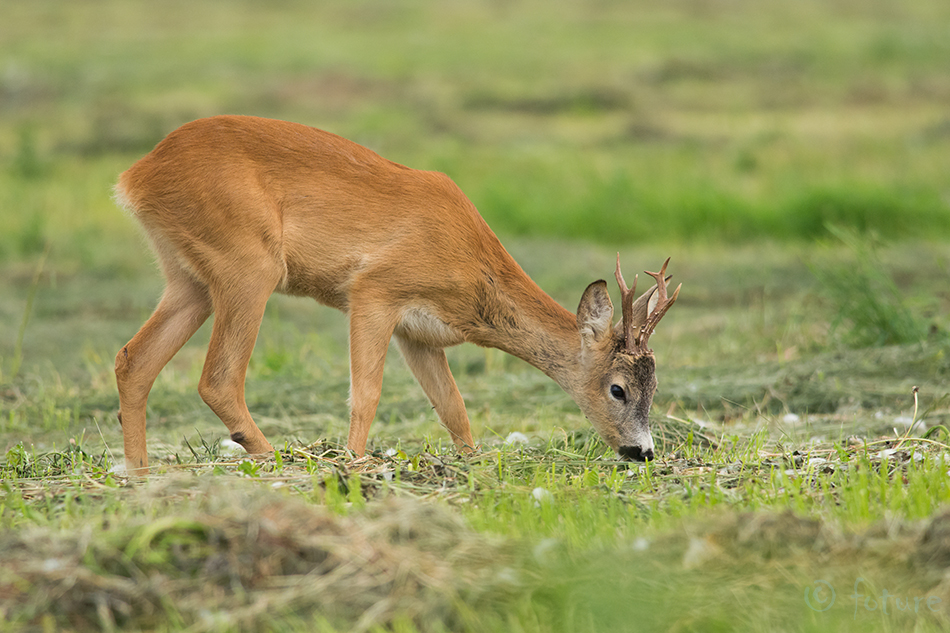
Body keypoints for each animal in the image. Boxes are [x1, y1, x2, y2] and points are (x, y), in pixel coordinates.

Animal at [115, 113, 680, 472]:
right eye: (618, 389)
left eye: (655, 387)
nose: (643, 453)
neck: (473, 271)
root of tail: (135, 175)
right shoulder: (374, 291)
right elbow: (366, 394)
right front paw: (354, 464)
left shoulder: (420, 334)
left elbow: (453, 407)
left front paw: (471, 463)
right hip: (249, 265)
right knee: (218, 377)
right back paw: (277, 459)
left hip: (188, 277)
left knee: (133, 360)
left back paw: (139, 475)